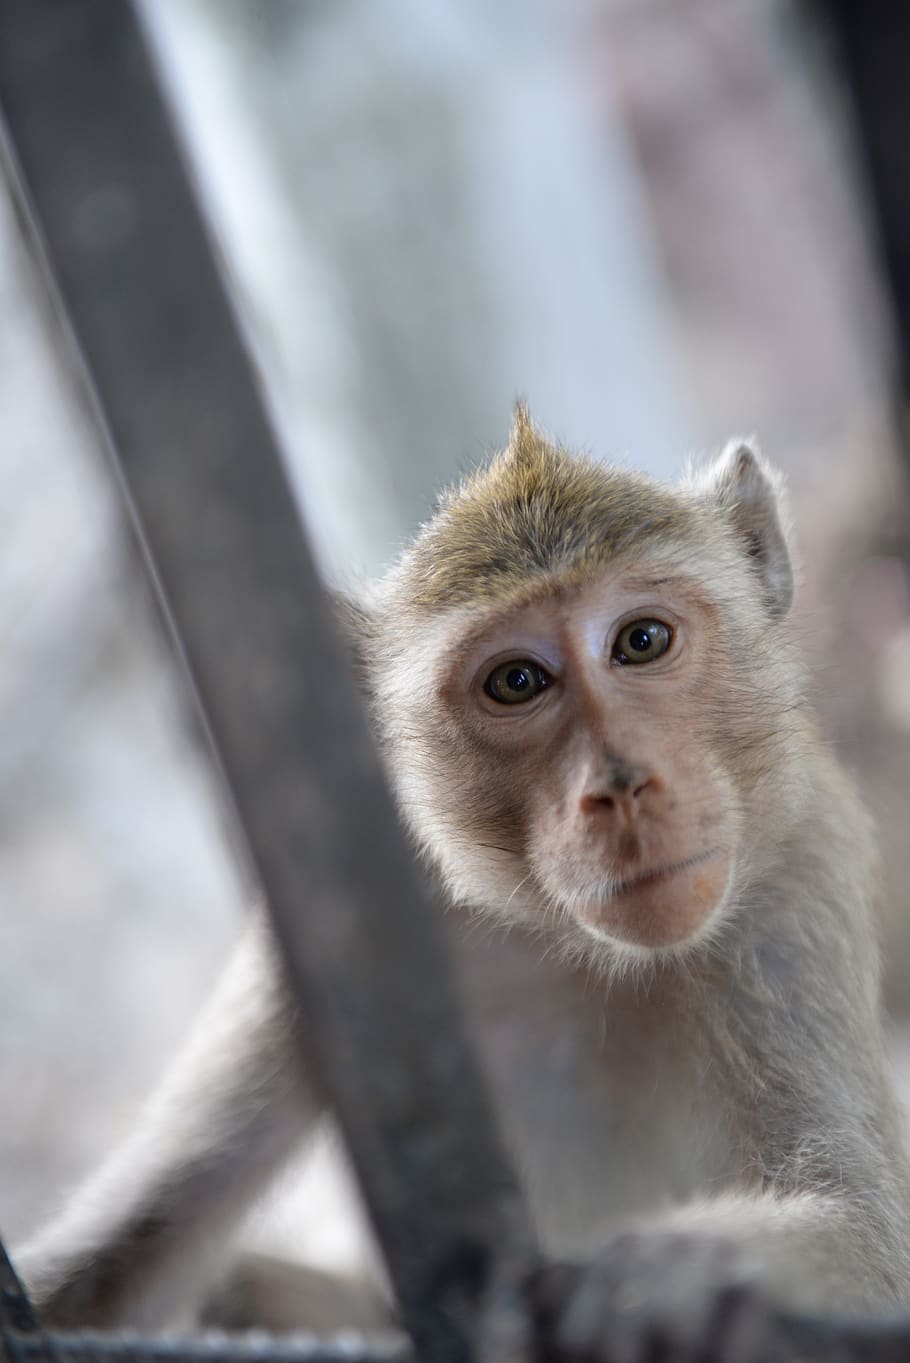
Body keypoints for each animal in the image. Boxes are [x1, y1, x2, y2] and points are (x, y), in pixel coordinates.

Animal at [15, 408, 910, 1347]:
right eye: (517, 680)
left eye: (642, 640)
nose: (620, 787)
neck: (572, 946)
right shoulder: (312, 942)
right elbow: (129, 1250)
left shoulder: (798, 887)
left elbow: (868, 1231)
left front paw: (670, 1278)